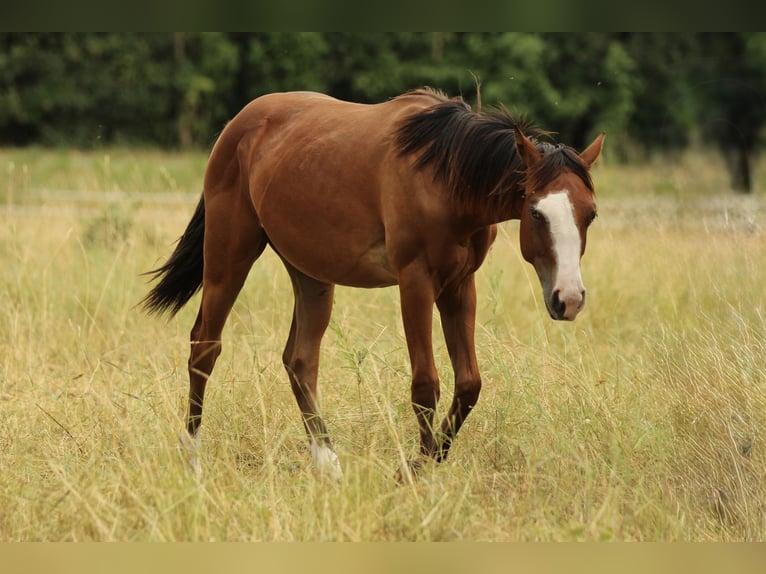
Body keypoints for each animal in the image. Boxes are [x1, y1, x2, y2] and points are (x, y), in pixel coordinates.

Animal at [142, 88, 604, 481]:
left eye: (591, 213)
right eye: (536, 212)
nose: (569, 299)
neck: (443, 174)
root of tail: (237, 125)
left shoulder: (459, 286)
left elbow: (469, 383)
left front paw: (427, 463)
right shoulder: (415, 282)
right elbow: (426, 385)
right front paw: (414, 472)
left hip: (311, 275)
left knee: (300, 360)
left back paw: (329, 464)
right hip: (229, 257)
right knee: (205, 347)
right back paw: (193, 459)